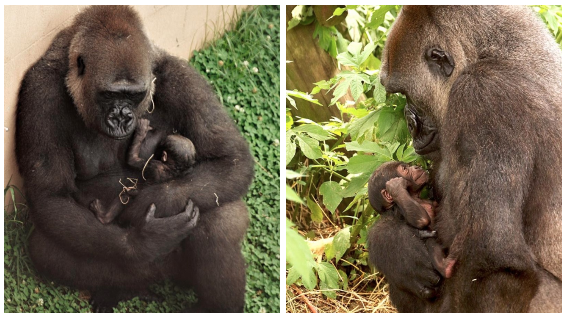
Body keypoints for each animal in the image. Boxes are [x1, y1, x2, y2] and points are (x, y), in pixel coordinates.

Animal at [15, 6, 253, 312]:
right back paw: (121, 286)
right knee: (46, 249)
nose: (122, 118)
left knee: (220, 216)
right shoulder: (39, 93)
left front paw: (145, 204)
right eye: (110, 95)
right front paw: (143, 241)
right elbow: (51, 197)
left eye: (135, 95)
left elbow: (231, 159)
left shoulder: (181, 77)